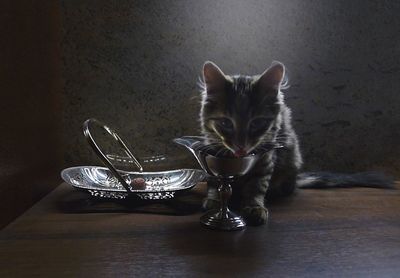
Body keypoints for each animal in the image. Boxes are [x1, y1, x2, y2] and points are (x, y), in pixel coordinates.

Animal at [198, 60, 392, 226]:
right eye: (226, 123)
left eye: (257, 123)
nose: (241, 147)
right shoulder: (212, 154)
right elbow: (214, 182)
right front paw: (214, 200)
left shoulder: (265, 158)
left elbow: (256, 186)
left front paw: (254, 207)